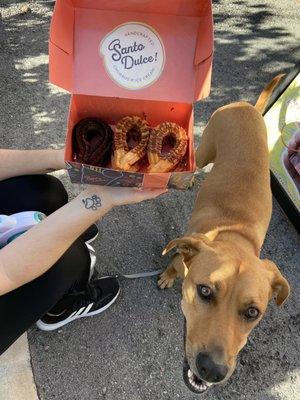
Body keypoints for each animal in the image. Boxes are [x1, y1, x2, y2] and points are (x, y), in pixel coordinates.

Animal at [158, 79, 290, 394]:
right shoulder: (183, 252)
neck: (232, 237)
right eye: (205, 291)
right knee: (194, 163)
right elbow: (173, 263)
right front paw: (167, 276)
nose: (213, 370)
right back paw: (183, 178)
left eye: (253, 312)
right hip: (205, 146)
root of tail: (246, 106)